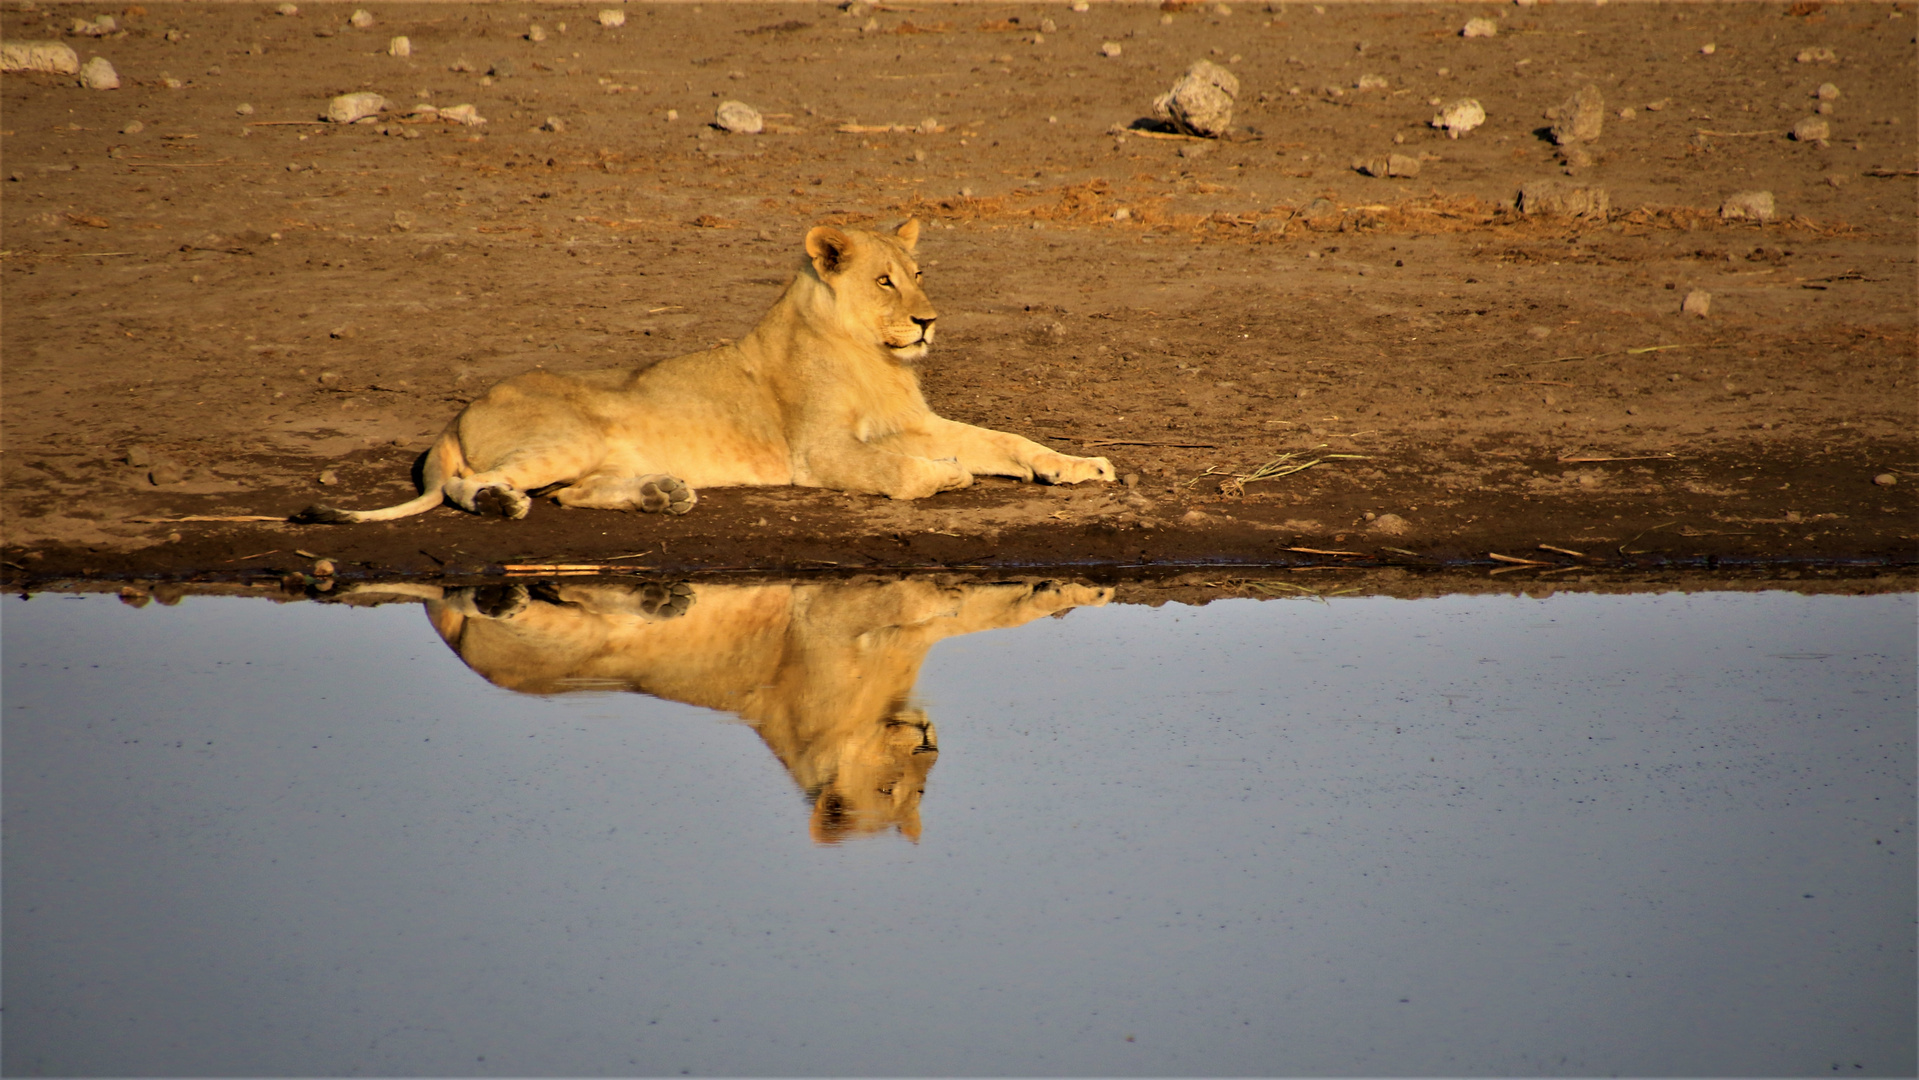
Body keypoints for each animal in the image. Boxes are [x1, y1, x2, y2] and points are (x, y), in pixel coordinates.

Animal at [291, 219, 1120, 525]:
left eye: (917, 274)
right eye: (884, 281)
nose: (928, 321)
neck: (874, 358)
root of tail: (456, 414)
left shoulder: (920, 421)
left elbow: (1008, 442)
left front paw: (1079, 467)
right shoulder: (816, 452)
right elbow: (899, 466)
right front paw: (941, 476)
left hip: (590, 455)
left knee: (574, 495)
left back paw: (663, 493)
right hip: (563, 435)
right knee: (481, 487)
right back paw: (500, 503)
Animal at [345, 579, 1113, 840]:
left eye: (926, 786)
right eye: (893, 787)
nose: (929, 740)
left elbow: (978, 613)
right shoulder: (853, 622)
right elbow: (957, 607)